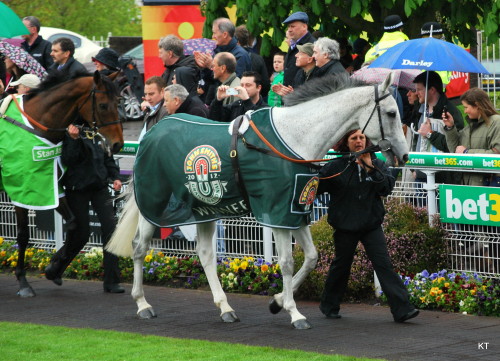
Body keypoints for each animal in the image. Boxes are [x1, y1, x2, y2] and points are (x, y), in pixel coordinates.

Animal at [1, 70, 124, 296]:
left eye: (119, 101)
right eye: (103, 105)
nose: (118, 143)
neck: (36, 125)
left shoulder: (48, 185)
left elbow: (75, 225)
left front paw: (54, 267)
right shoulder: (22, 188)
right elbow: (22, 235)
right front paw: (23, 281)